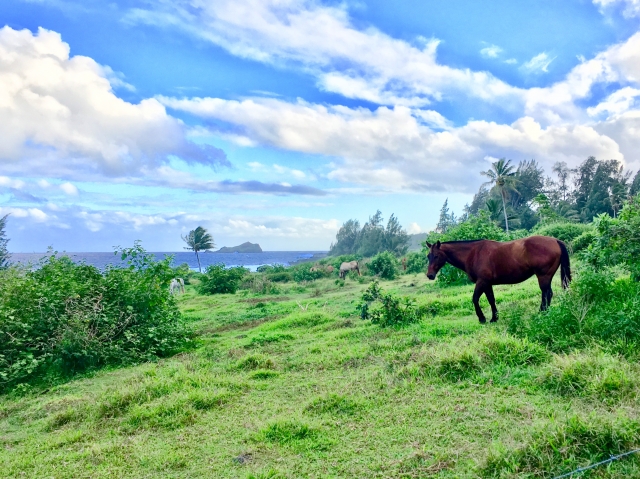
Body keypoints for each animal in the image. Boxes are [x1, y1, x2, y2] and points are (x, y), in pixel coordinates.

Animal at [424, 237, 568, 326]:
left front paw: (482, 318)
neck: (473, 253)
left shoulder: (482, 282)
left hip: (543, 276)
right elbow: (491, 300)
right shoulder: (487, 284)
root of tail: (555, 240)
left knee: (546, 293)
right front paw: (494, 318)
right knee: (548, 293)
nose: (430, 275)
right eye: (428, 256)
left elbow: (475, 298)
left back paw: (542, 312)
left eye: (436, 256)